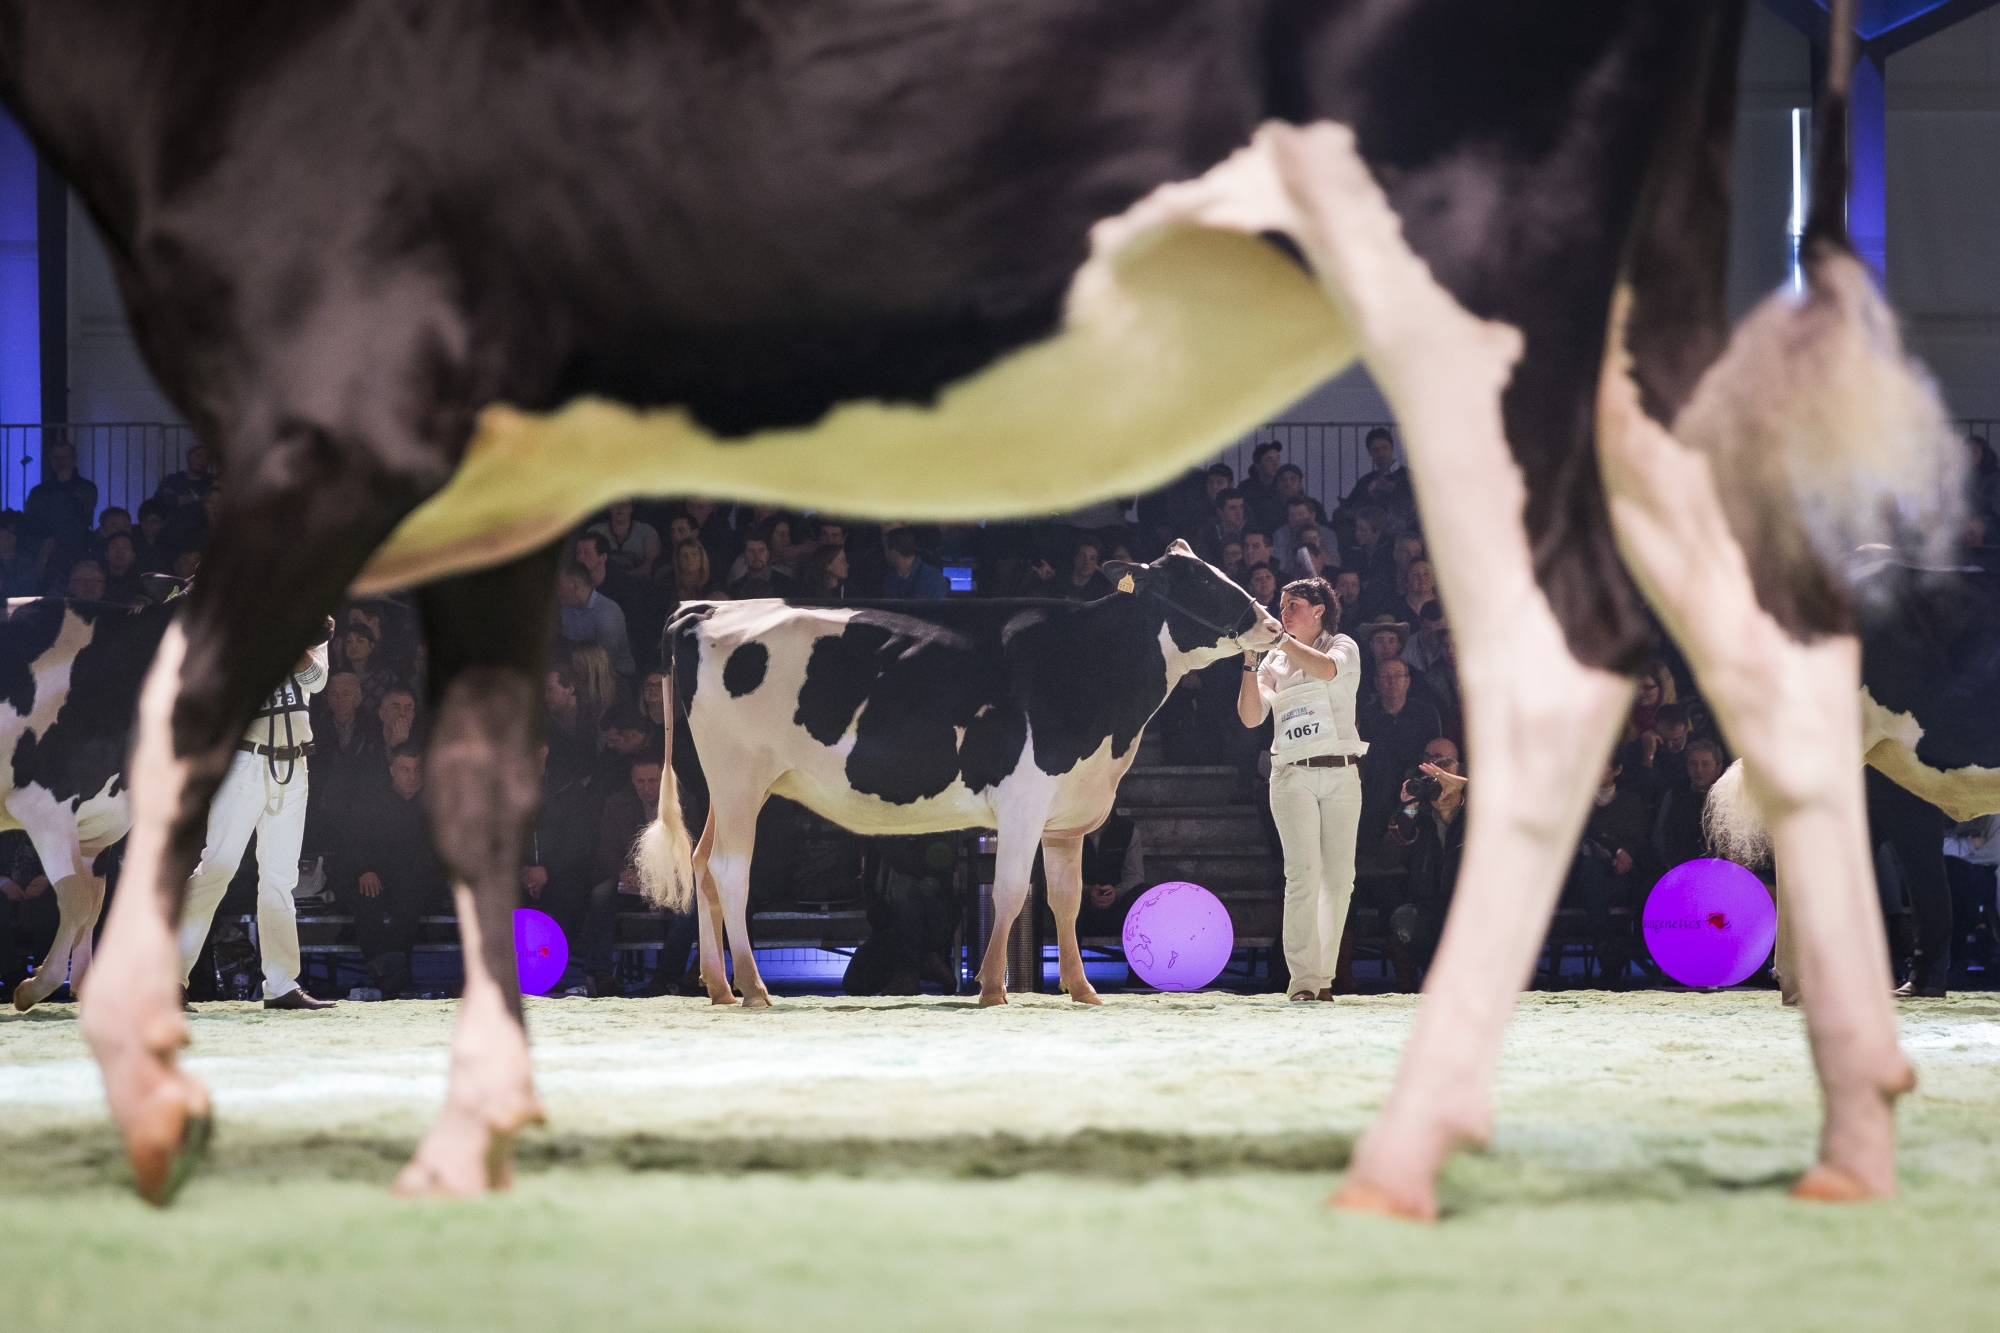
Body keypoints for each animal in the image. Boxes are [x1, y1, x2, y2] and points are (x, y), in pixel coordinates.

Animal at [640, 536, 1280, 1000]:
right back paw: (752, 987)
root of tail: (704, 608)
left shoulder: (1068, 813)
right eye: (1201, 579)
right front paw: (993, 987)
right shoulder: (1023, 800)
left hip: (721, 789)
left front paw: (1082, 991)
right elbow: (1012, 891)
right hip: (740, 780)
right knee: (730, 872)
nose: (1272, 623)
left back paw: (719, 987)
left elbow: (1066, 900)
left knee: (702, 865)